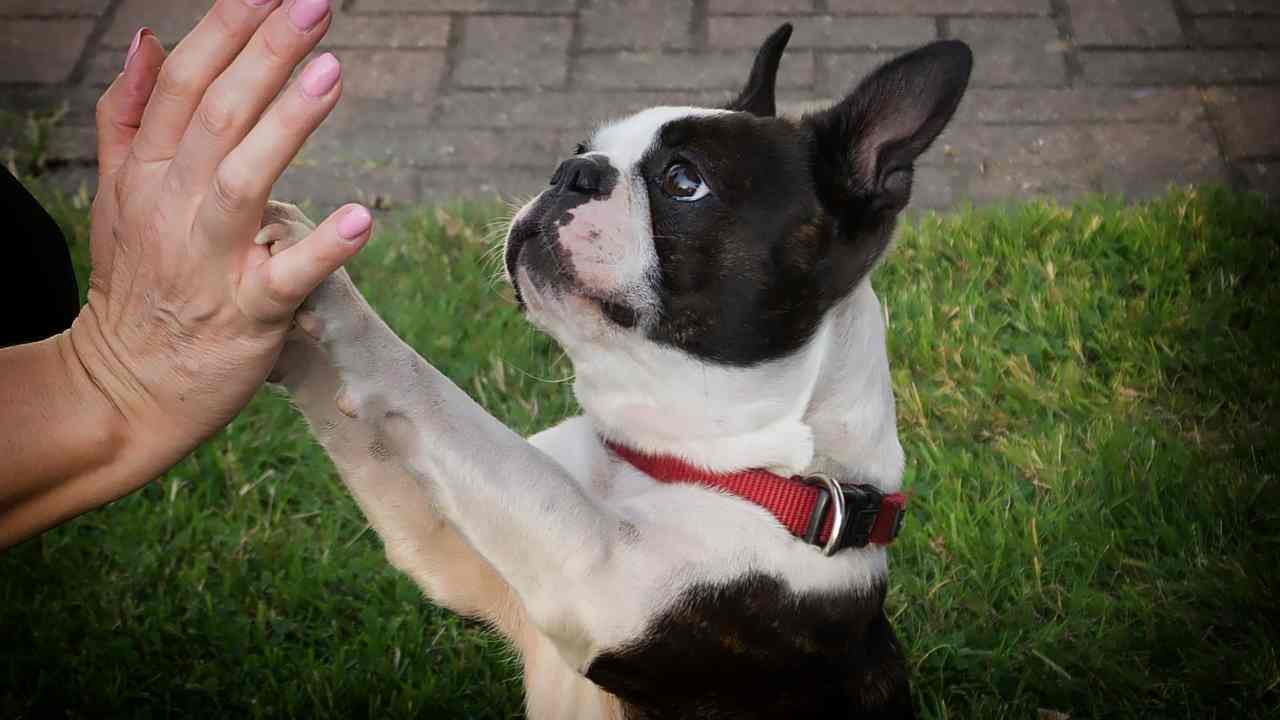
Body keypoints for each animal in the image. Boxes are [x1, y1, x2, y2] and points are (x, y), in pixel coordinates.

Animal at [259, 23, 967, 717]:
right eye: (581, 148)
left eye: (684, 181)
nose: (571, 170)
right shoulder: (446, 546)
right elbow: (367, 431)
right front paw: (279, 284)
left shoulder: (597, 571)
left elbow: (440, 399)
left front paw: (337, 304)